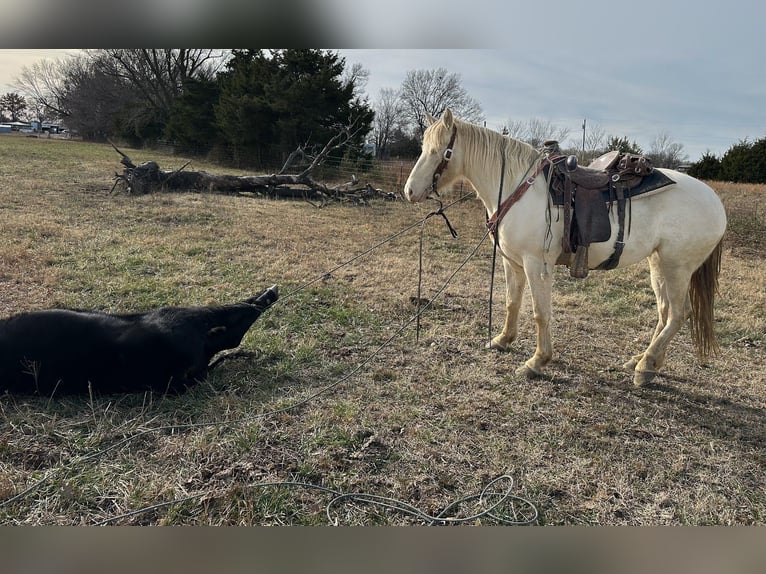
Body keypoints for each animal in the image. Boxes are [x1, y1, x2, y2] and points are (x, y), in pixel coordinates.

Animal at [404, 109, 727, 386]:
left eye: (439, 151)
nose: (409, 191)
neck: (519, 189)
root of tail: (716, 202)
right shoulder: (512, 262)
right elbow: (512, 302)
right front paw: (502, 340)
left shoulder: (536, 264)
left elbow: (539, 312)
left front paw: (537, 362)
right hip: (657, 263)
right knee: (664, 311)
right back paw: (644, 360)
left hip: (677, 267)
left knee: (679, 314)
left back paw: (646, 368)